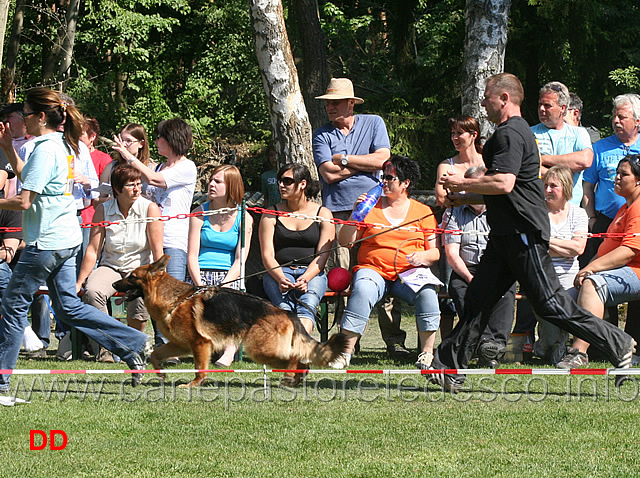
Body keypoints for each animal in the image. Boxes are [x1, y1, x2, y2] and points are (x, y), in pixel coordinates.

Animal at [112, 256, 348, 386]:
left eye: (131, 277)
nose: (114, 284)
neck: (175, 299)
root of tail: (286, 313)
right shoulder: (180, 344)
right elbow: (155, 355)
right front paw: (160, 375)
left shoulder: (200, 344)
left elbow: (200, 368)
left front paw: (193, 385)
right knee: (302, 362)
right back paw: (295, 380)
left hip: (261, 350)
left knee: (294, 359)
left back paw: (289, 378)